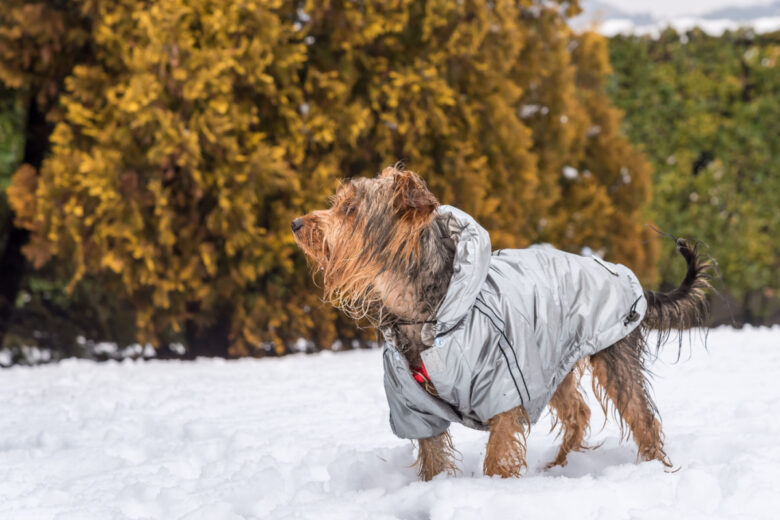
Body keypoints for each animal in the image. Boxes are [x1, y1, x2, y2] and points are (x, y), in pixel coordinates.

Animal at [290, 166, 708, 480]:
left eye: (349, 209)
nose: (295, 223)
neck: (429, 312)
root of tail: (626, 275)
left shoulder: (503, 385)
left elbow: (498, 452)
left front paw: (496, 487)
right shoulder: (413, 405)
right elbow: (432, 455)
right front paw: (434, 486)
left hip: (610, 351)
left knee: (642, 417)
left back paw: (654, 468)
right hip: (550, 359)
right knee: (578, 412)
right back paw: (558, 466)